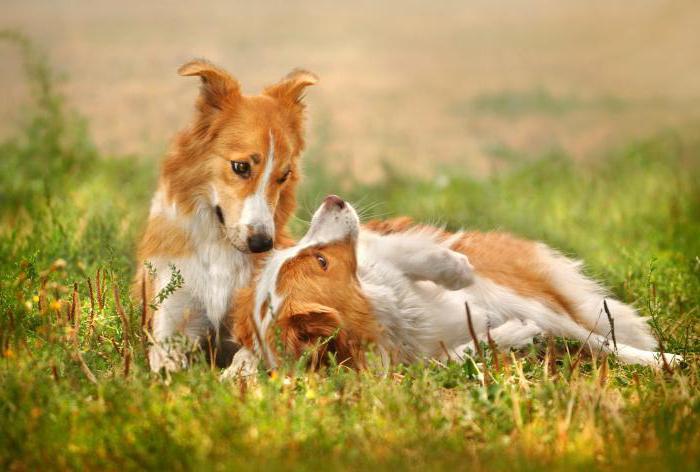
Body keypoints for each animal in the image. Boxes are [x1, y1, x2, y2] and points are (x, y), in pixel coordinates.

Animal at [133, 59, 318, 370]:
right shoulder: (173, 318)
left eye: (284, 175)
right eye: (240, 167)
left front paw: (236, 374)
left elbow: (250, 353)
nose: (262, 244)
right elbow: (168, 365)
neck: (219, 246)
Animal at [223, 195, 680, 376]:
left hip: (525, 294)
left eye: (309, 256)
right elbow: (453, 358)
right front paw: (508, 336)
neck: (389, 316)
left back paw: (664, 359)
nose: (333, 199)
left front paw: (454, 269)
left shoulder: (382, 253)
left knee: (595, 336)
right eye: (321, 261)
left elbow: (403, 254)